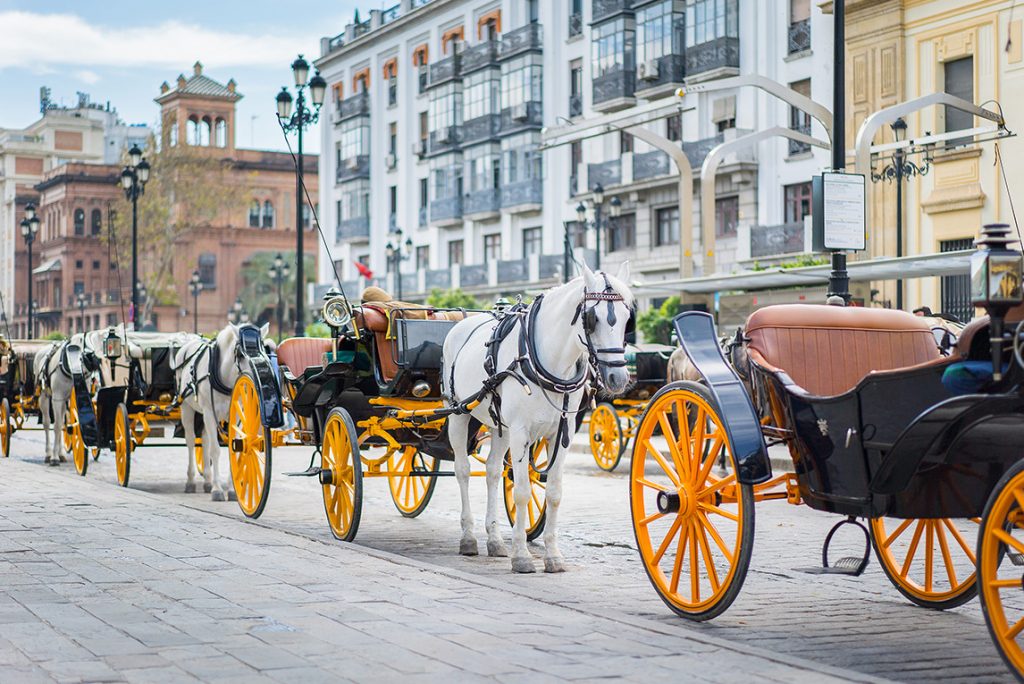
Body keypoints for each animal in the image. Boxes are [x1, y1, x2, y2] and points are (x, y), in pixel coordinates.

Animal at [176, 321, 272, 501]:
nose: (256, 381)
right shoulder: (209, 412)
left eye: (263, 348)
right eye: (240, 354)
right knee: (191, 441)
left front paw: (232, 490)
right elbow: (215, 450)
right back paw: (191, 481)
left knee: (205, 439)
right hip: (187, 408)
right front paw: (218, 489)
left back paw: (207, 481)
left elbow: (235, 447)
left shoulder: (237, 415)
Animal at [446, 262, 634, 573]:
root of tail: (462, 323)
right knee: (462, 471)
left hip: (500, 426)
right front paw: (522, 556)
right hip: (457, 414)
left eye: (627, 319)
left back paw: (495, 540)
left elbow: (554, 493)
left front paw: (553, 556)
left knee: (493, 472)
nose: (617, 378)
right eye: (592, 319)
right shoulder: (521, 432)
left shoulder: (561, 433)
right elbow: (522, 492)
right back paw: (468, 537)